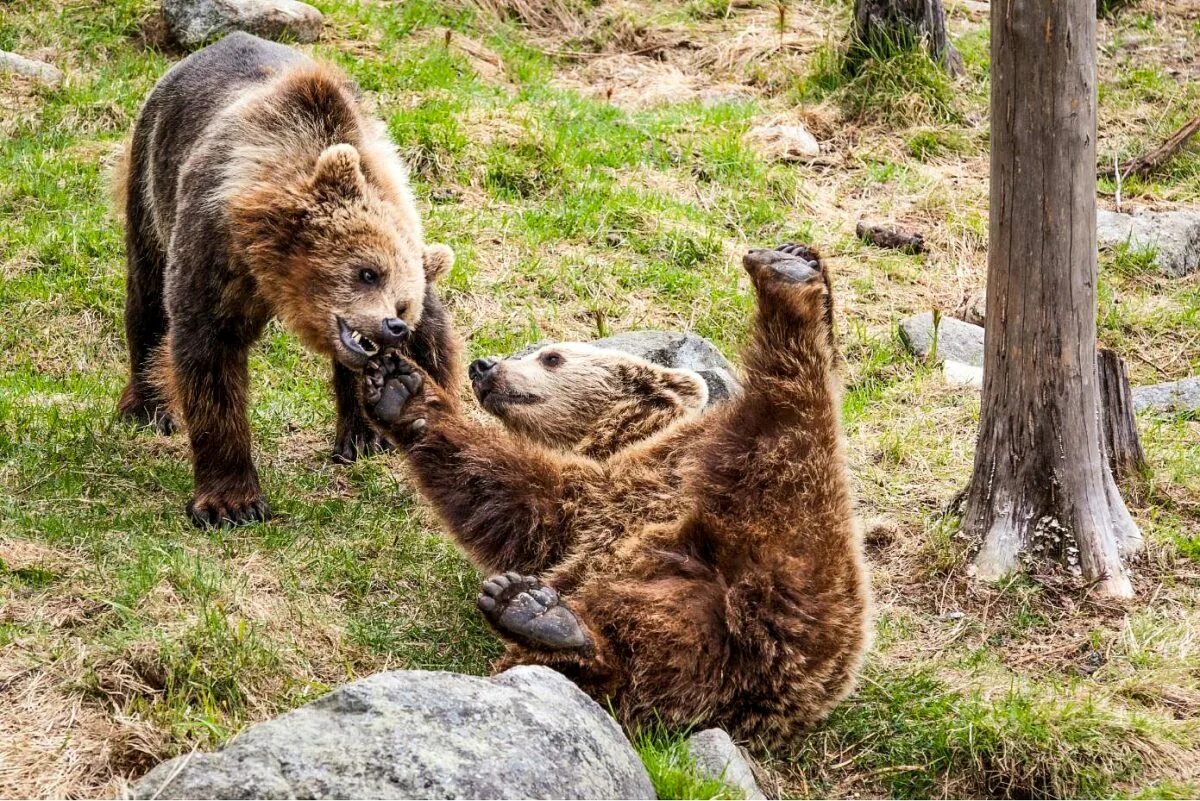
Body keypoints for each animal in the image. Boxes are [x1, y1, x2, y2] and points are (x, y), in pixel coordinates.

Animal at [115, 32, 458, 525]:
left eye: (403, 304)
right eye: (367, 272)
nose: (392, 326)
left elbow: (432, 348)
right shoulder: (215, 250)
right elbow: (209, 355)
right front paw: (230, 503)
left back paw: (361, 438)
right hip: (150, 174)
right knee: (147, 296)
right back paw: (147, 407)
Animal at [355, 245, 873, 753]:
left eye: (552, 357)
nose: (484, 366)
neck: (622, 437)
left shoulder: (642, 474)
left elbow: (522, 485)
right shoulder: (581, 518)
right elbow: (511, 505)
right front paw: (401, 389)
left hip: (800, 540)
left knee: (788, 426)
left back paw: (788, 281)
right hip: (686, 632)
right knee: (635, 662)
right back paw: (540, 615)